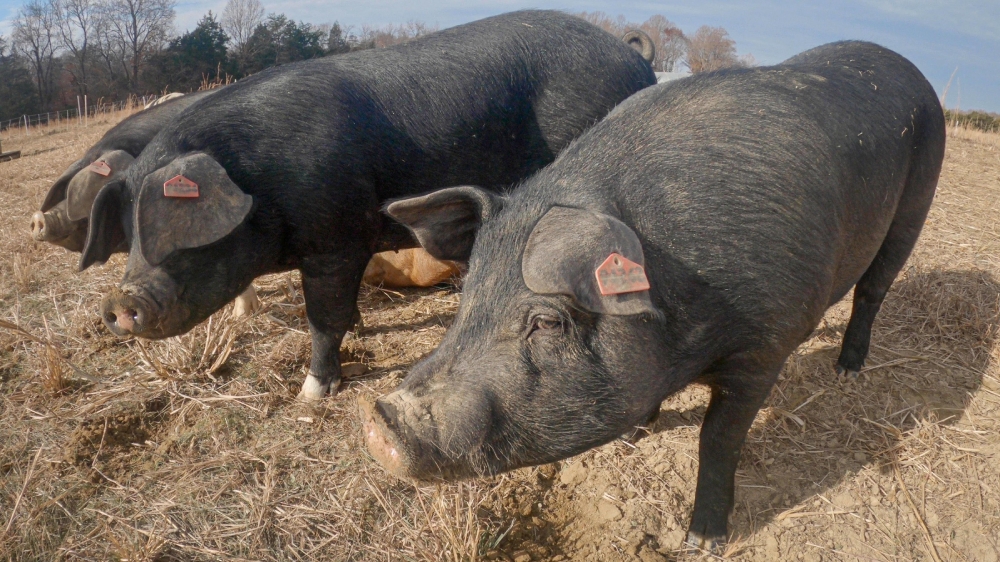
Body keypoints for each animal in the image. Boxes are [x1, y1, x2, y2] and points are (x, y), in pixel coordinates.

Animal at [78, 10, 656, 400]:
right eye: (129, 234)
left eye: (179, 229)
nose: (119, 301)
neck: (263, 183)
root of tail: (633, 58)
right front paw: (357, 329)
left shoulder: (336, 241)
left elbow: (323, 317)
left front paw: (312, 394)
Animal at [362, 40, 944, 552]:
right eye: (468, 292)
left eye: (547, 321)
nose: (378, 418)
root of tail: (904, 66)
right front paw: (631, 436)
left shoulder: (764, 347)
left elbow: (719, 439)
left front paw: (703, 542)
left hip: (915, 206)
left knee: (873, 289)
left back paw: (848, 369)